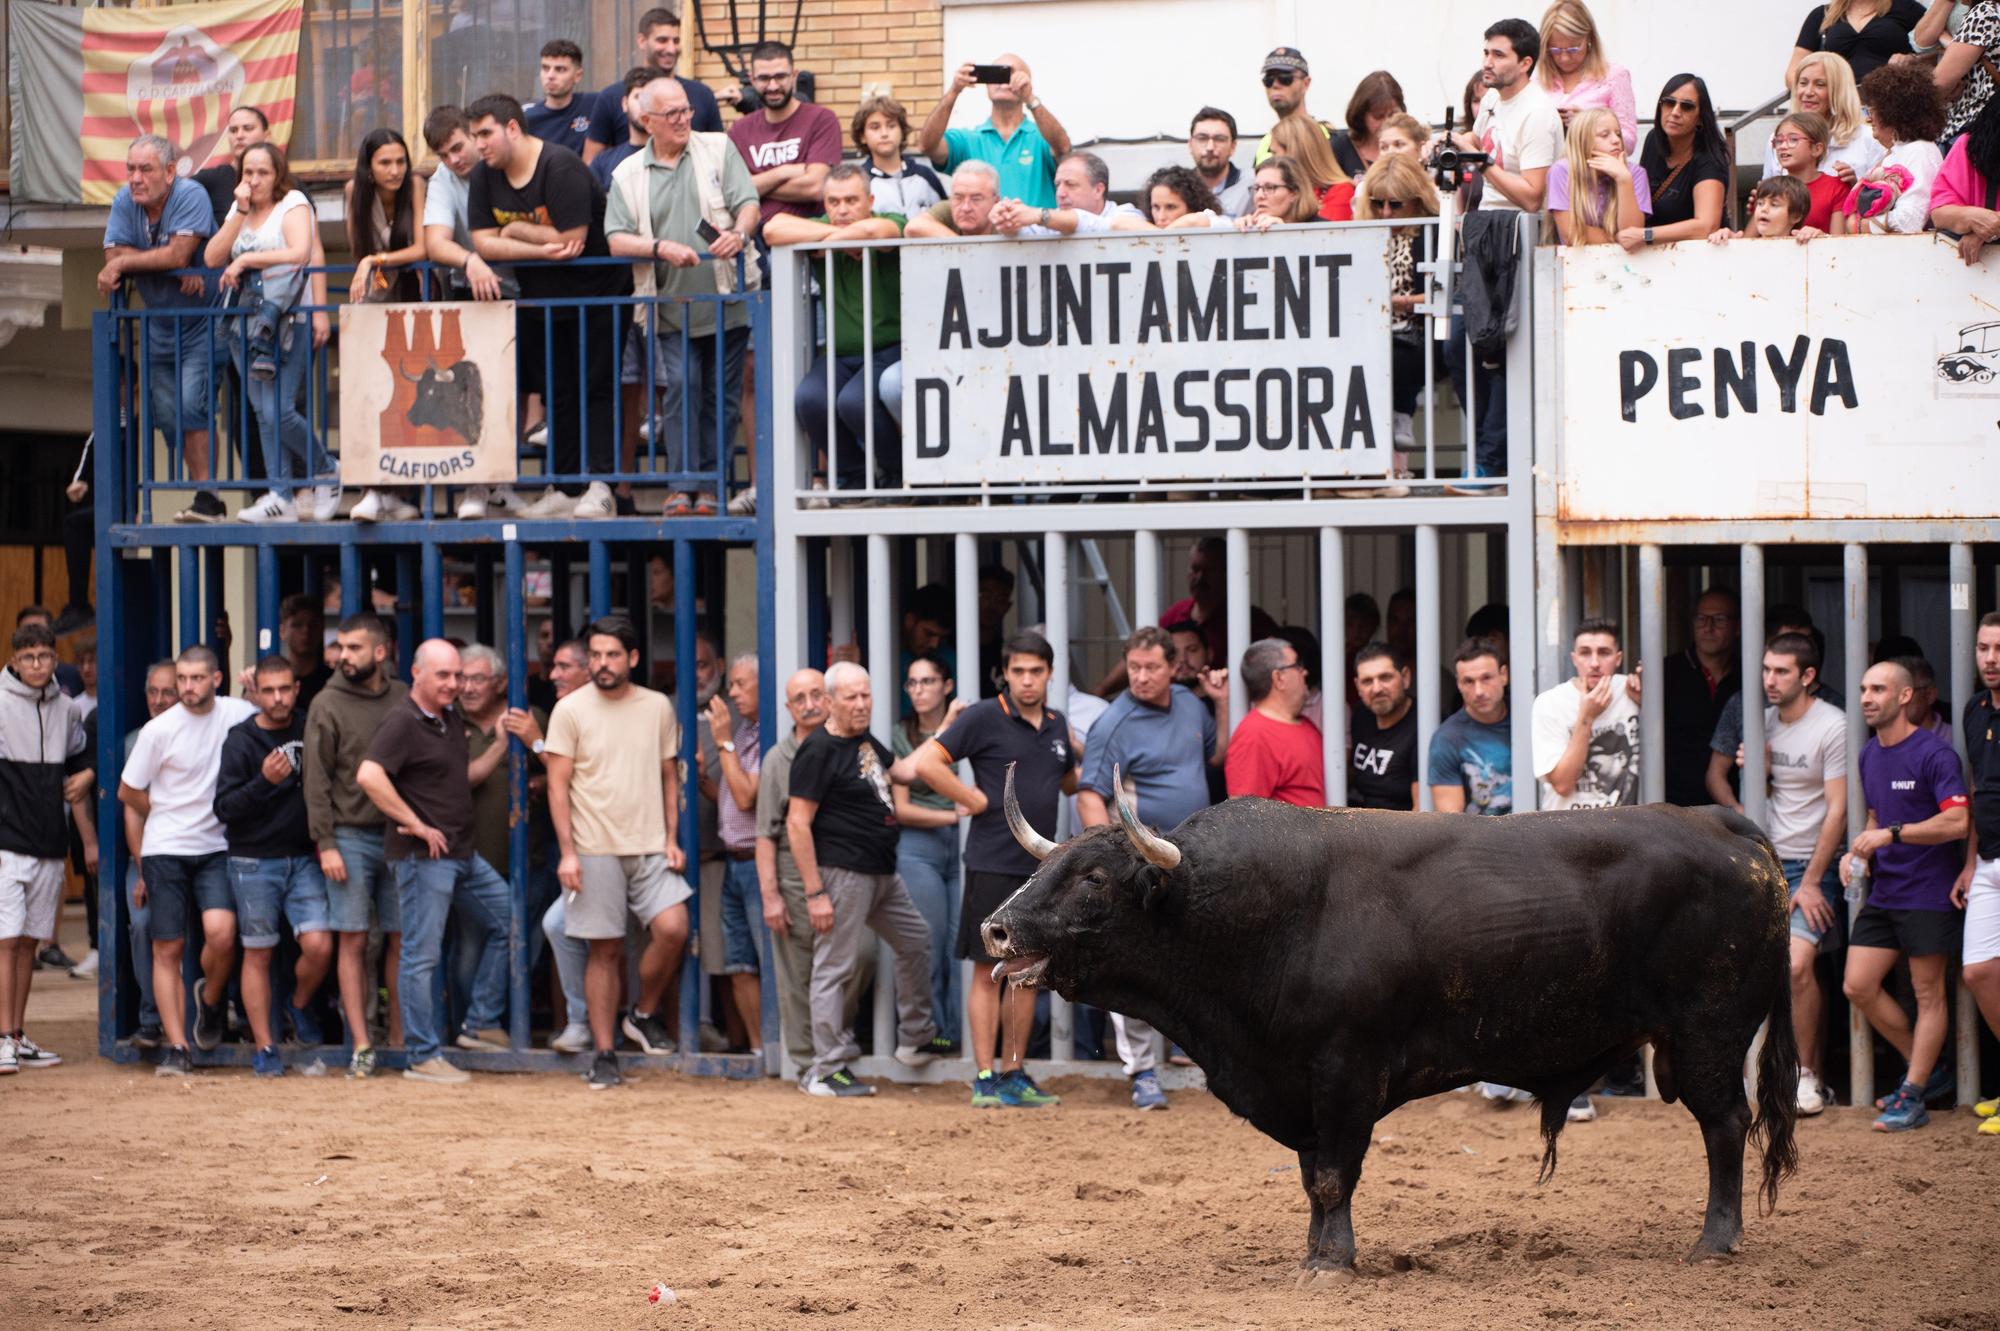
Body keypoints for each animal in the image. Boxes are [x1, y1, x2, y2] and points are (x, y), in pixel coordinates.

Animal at [980, 771, 1800, 1271]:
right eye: (1046, 867)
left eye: (1093, 878)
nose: (995, 927)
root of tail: (1721, 824)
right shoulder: (1301, 1087)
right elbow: (1313, 1177)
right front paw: (1317, 1249)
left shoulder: (1347, 1071)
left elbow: (1336, 1174)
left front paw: (1330, 1262)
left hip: (1709, 1034)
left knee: (1726, 1126)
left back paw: (1715, 1241)